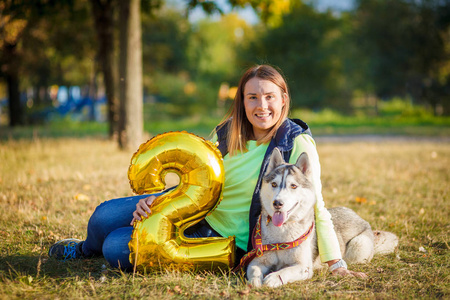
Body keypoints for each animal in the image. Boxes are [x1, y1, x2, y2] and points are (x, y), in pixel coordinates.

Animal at [248, 149, 400, 288]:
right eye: (274, 184)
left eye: (293, 186)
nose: (277, 203)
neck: (281, 235)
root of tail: (356, 215)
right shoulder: (258, 260)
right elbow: (253, 269)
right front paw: (255, 281)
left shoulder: (303, 266)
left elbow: (286, 271)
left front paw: (274, 278)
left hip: (358, 247)